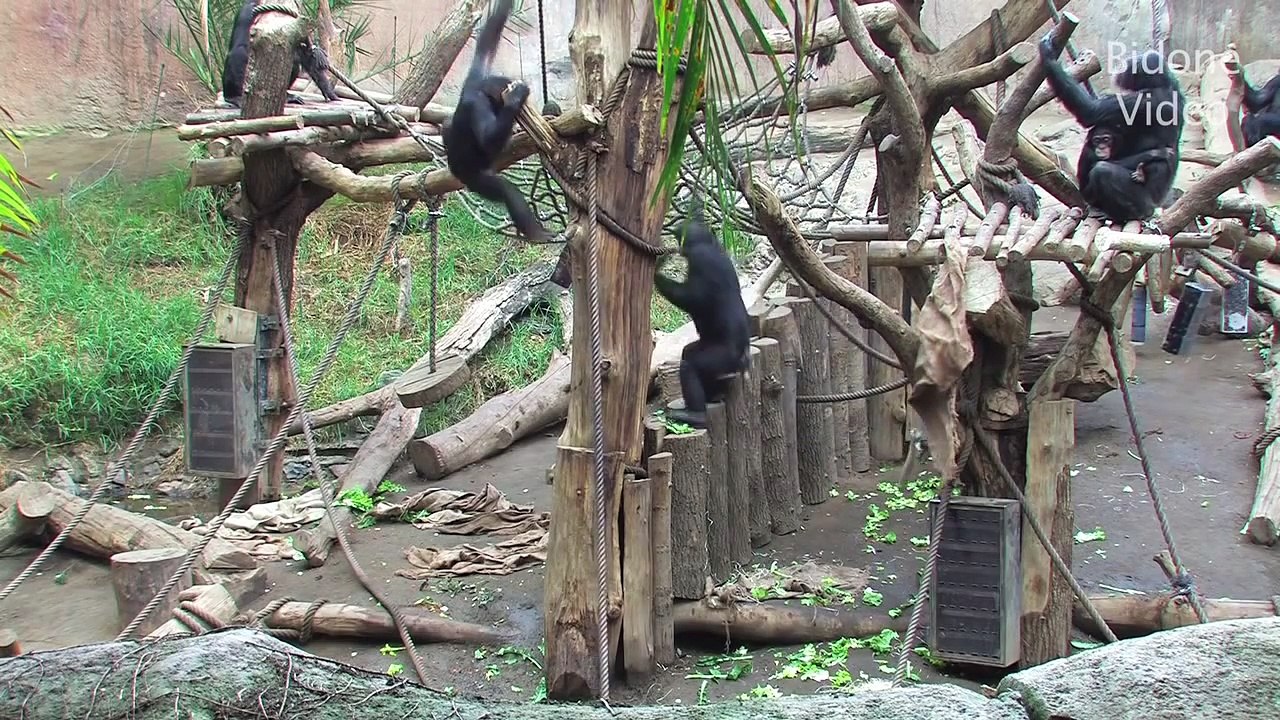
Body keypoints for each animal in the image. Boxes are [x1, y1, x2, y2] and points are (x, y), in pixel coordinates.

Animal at [442, 0, 550, 243]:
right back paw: (538, 233)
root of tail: (458, 173)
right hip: (476, 179)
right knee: (507, 191)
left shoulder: (475, 75)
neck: (480, 89)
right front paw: (515, 98)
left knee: (445, 124)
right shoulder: (478, 104)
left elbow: (489, 38)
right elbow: (487, 140)